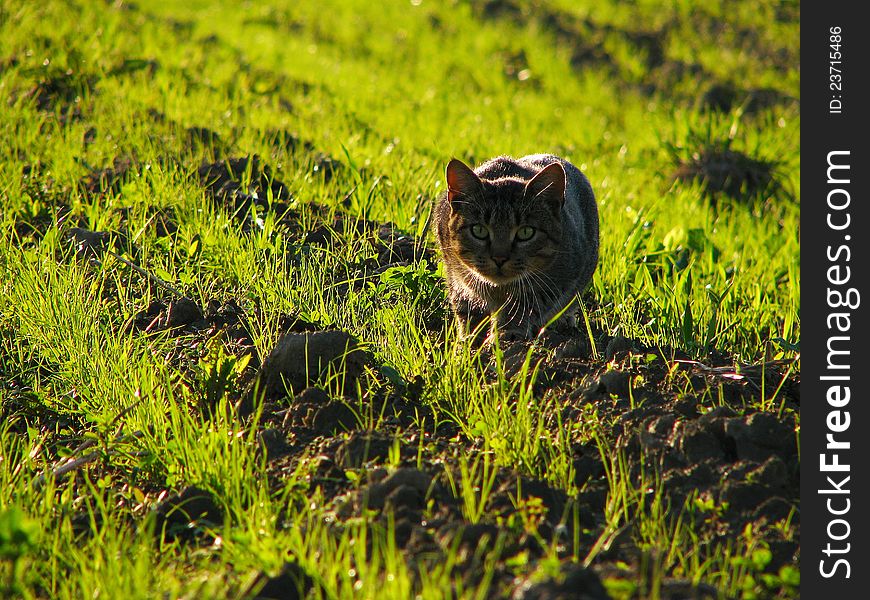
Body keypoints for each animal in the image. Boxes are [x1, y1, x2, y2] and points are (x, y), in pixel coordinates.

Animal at [436, 154, 600, 342]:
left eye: (526, 232)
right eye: (479, 230)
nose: (499, 258)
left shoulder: (558, 281)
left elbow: (522, 306)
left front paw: (507, 333)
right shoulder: (454, 271)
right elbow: (465, 303)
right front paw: (469, 337)